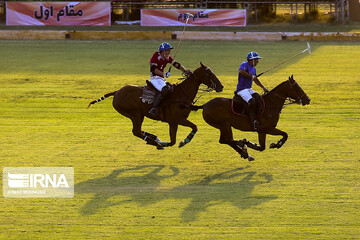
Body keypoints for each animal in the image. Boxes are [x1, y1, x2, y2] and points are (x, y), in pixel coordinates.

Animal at [87, 62, 222, 150]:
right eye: (210, 74)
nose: (221, 87)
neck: (182, 93)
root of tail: (116, 92)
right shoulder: (178, 119)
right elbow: (194, 127)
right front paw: (183, 142)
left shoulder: (173, 122)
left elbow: (173, 141)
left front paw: (169, 142)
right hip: (135, 114)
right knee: (136, 131)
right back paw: (155, 142)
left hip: (137, 115)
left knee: (138, 131)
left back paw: (154, 139)